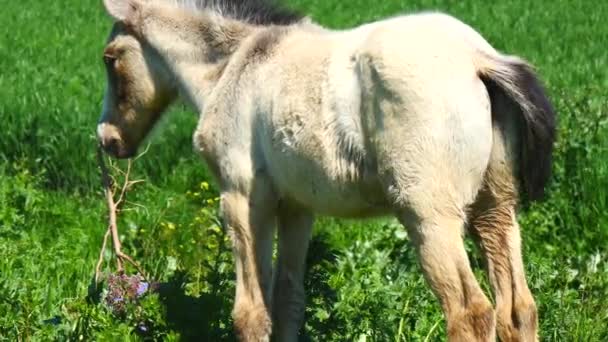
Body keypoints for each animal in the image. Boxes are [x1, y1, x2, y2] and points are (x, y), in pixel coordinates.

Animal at [96, 1, 556, 340]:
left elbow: (250, 313)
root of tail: (479, 59)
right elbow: (287, 303)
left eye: (109, 58)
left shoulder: (241, 197)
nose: (108, 139)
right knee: (518, 309)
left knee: (470, 313)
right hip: (494, 208)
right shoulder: (296, 207)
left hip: (429, 214)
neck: (236, 65)